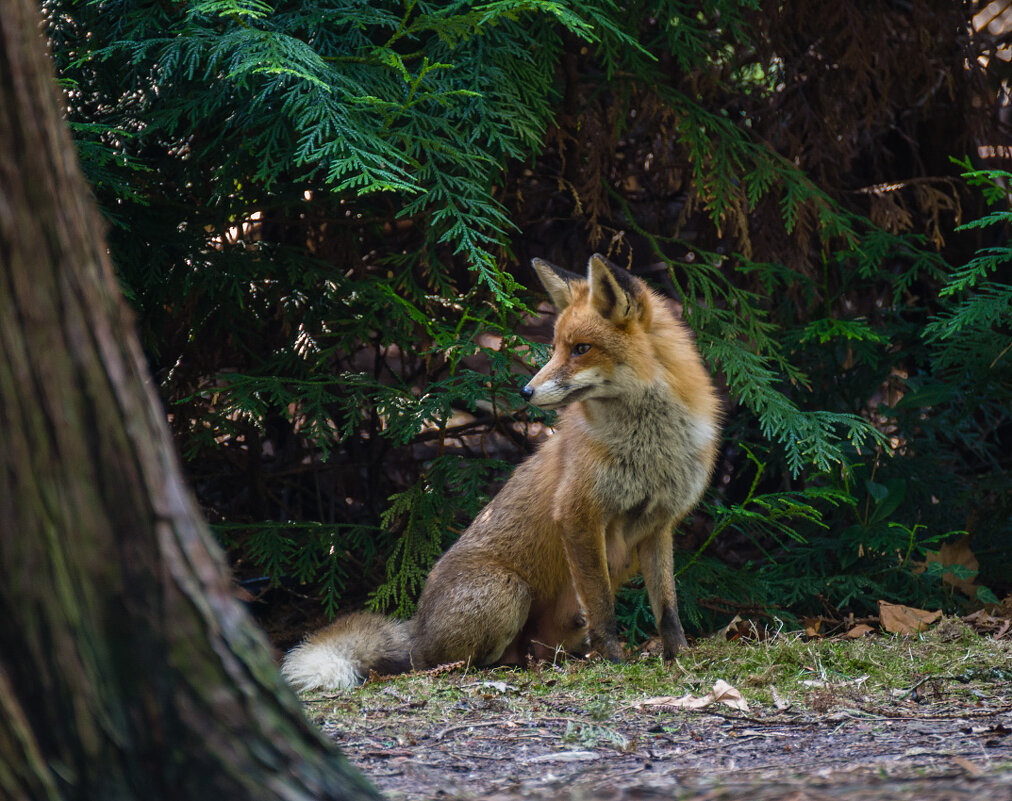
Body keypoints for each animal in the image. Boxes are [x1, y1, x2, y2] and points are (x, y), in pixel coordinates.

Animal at [281, 253, 720, 691]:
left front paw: (680, 656)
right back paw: (510, 668)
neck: (649, 448)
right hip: (508, 592)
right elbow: (602, 605)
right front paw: (613, 660)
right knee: (455, 663)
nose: (525, 392)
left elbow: (667, 607)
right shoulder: (578, 514)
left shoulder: (658, 524)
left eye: (581, 349)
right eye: (556, 348)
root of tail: (418, 632)